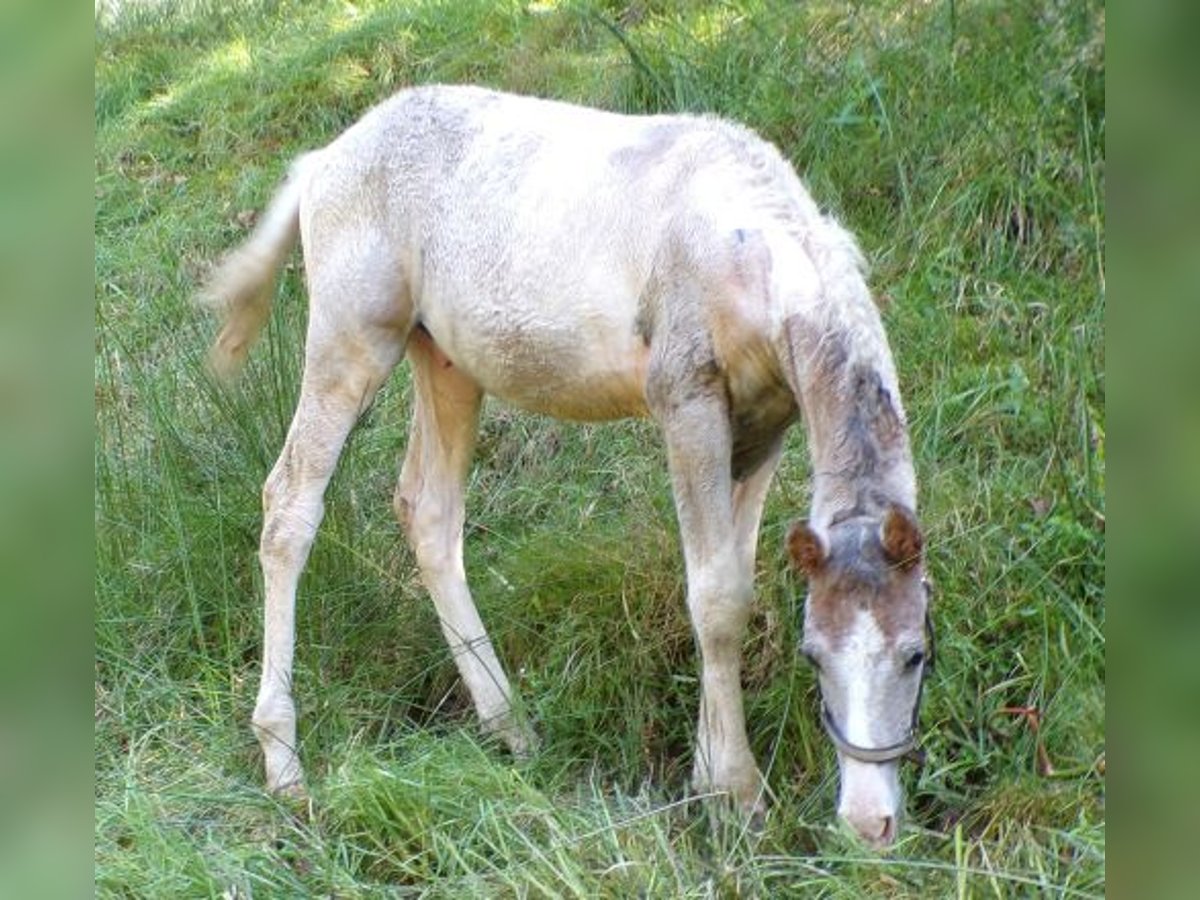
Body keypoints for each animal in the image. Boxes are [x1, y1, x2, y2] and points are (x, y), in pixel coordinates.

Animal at [204, 81, 936, 849]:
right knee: (290, 503)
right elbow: (715, 600)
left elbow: (734, 582)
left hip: (446, 362)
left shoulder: (763, 428)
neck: (752, 250)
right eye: (813, 655)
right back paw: (285, 765)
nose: (870, 824)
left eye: (916, 652)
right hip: (350, 340)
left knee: (429, 512)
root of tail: (326, 158)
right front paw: (736, 797)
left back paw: (512, 728)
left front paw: (709, 773)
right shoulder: (688, 403)